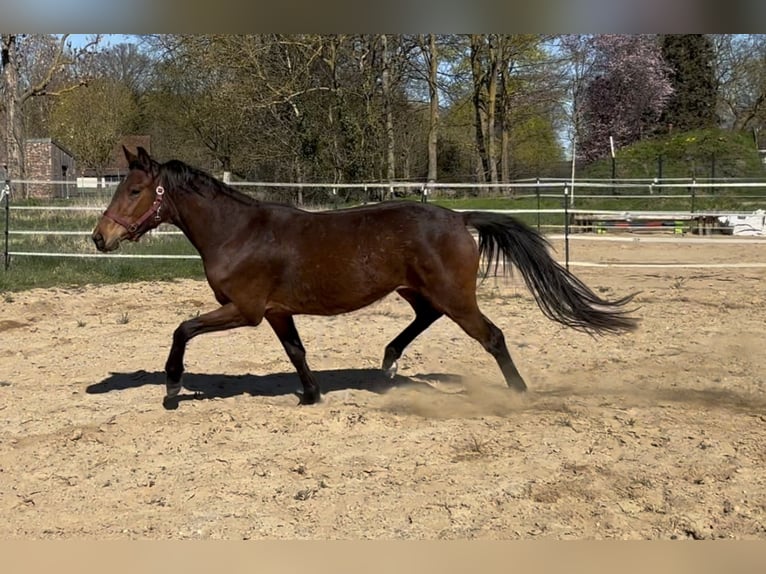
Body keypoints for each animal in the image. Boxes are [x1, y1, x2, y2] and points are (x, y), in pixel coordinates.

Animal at [92, 147, 638, 409]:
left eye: (135, 190)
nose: (100, 237)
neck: (238, 232)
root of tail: (459, 217)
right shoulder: (277, 312)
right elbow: (296, 352)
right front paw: (311, 395)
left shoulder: (244, 311)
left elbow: (182, 330)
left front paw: (171, 390)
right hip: (418, 290)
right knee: (425, 319)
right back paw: (389, 362)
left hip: (455, 296)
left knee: (493, 336)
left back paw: (518, 393)